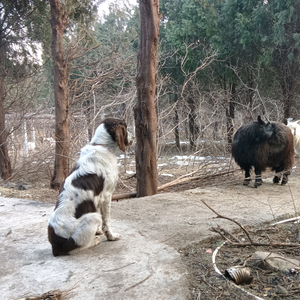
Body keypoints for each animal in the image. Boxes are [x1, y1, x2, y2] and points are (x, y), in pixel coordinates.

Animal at [47, 118, 132, 256]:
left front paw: (97, 231)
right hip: (93, 217)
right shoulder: (106, 195)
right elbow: (107, 221)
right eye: (126, 127)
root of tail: (55, 247)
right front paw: (111, 236)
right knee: (75, 249)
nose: (133, 137)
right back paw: (95, 241)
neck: (101, 145)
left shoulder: (97, 199)